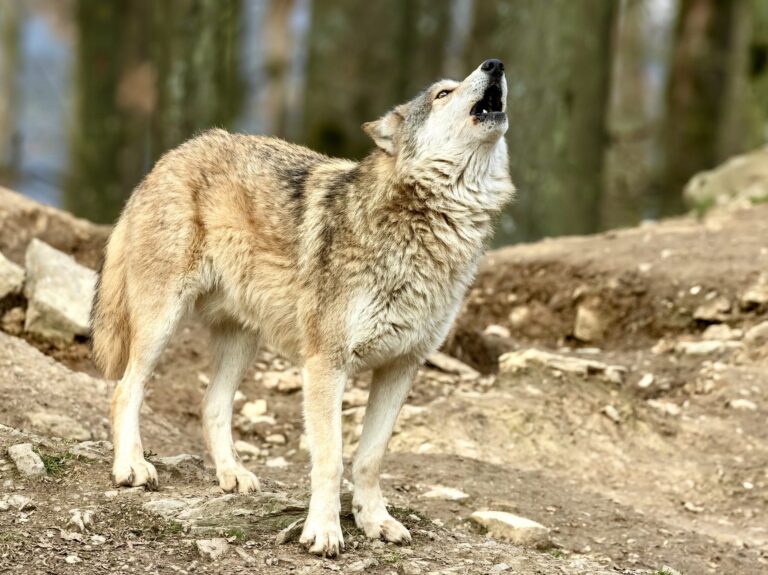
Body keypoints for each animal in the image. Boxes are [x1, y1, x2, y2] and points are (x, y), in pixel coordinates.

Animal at [90, 58, 513, 556]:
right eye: (443, 93)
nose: (495, 64)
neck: (424, 226)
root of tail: (171, 155)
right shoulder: (325, 364)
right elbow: (331, 459)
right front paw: (325, 531)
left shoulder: (402, 366)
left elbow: (370, 459)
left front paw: (375, 521)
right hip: (162, 323)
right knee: (125, 389)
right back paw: (131, 468)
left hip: (242, 343)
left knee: (211, 405)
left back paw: (232, 474)